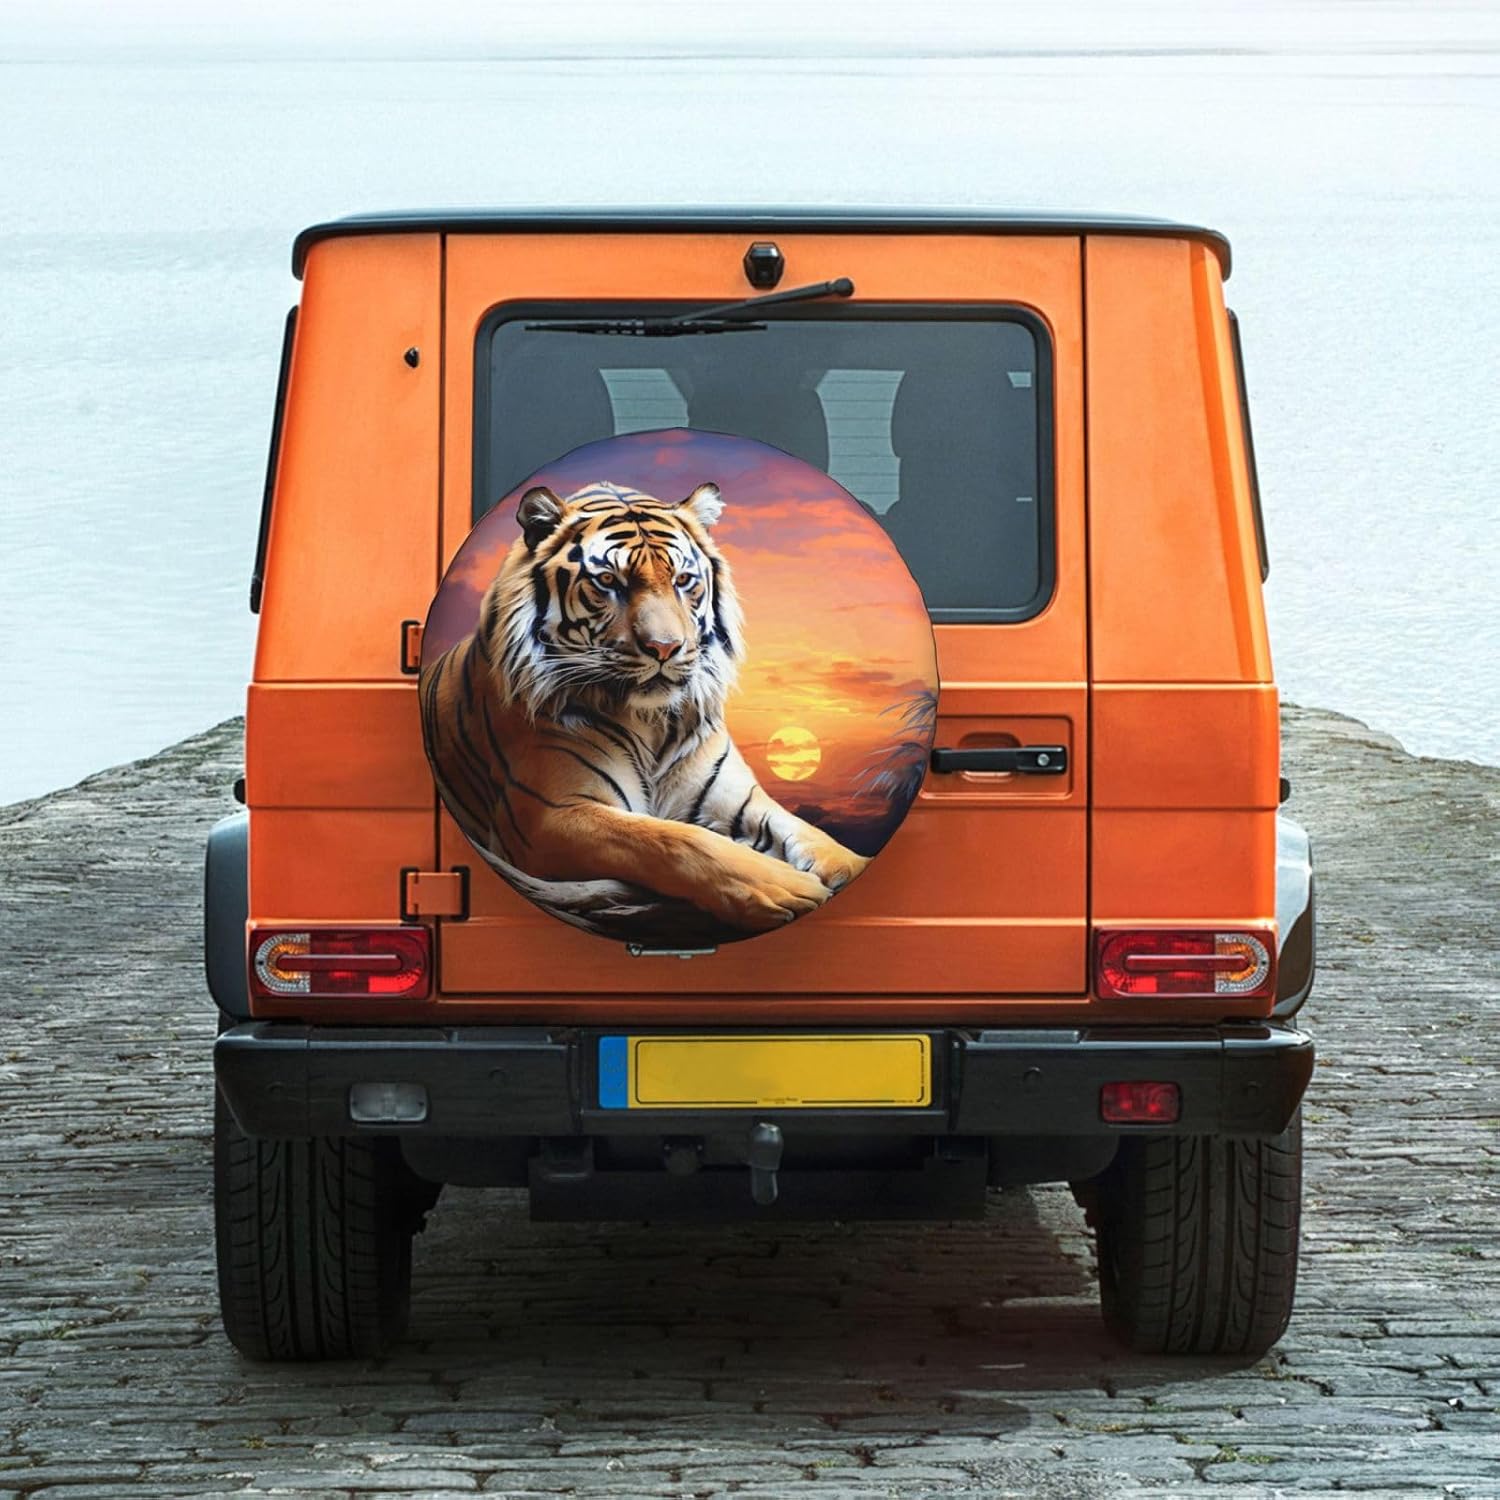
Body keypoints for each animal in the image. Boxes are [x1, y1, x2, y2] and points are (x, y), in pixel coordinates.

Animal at [419, 479, 869, 937]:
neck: (653, 722)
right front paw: (785, 887)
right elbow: (670, 838)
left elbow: (814, 836)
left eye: (684, 580)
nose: (665, 648)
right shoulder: (549, 815)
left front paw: (848, 868)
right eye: (607, 581)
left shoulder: (740, 801)